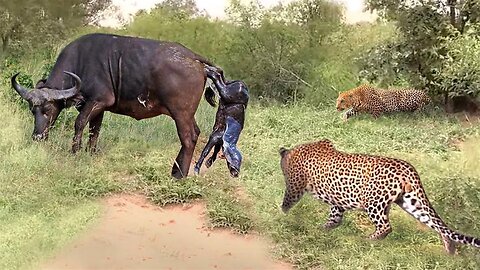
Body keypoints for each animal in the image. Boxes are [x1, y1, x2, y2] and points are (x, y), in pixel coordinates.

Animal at [11, 33, 218, 179]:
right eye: (32, 110)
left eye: (47, 110)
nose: (37, 137)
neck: (80, 62)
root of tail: (194, 59)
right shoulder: (98, 109)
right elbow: (94, 131)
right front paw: (90, 153)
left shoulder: (97, 101)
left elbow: (79, 123)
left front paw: (75, 151)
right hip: (187, 115)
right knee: (196, 133)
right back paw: (175, 169)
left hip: (180, 113)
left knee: (188, 138)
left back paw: (179, 175)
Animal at [280, 140, 478, 254]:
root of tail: (408, 168)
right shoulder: (337, 202)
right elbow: (334, 219)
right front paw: (323, 229)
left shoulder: (294, 186)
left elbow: (286, 204)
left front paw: (280, 219)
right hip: (411, 201)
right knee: (437, 223)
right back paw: (450, 249)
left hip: (374, 202)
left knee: (385, 226)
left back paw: (368, 241)